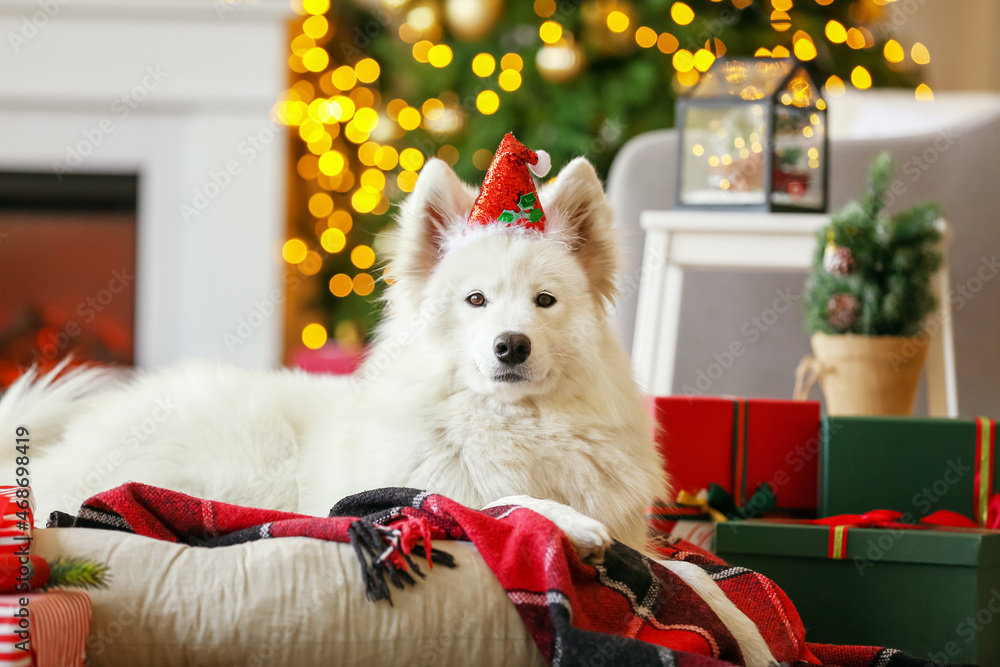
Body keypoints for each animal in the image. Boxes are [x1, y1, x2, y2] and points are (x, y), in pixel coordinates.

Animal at [0, 154, 776, 664]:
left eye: (545, 300)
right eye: (475, 300)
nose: (511, 345)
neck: (516, 423)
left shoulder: (650, 547)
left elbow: (706, 586)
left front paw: (754, 635)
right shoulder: (428, 493)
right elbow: (508, 504)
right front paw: (571, 525)